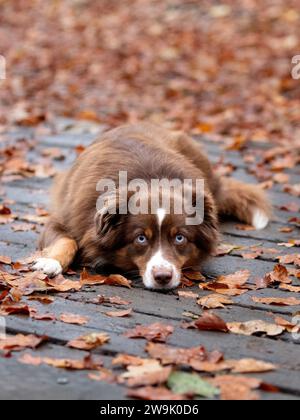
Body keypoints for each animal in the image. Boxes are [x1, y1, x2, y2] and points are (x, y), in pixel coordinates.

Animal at [33, 123, 272, 290]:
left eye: (180, 238)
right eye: (141, 238)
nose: (163, 278)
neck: (151, 182)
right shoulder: (68, 217)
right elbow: (68, 240)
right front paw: (50, 262)